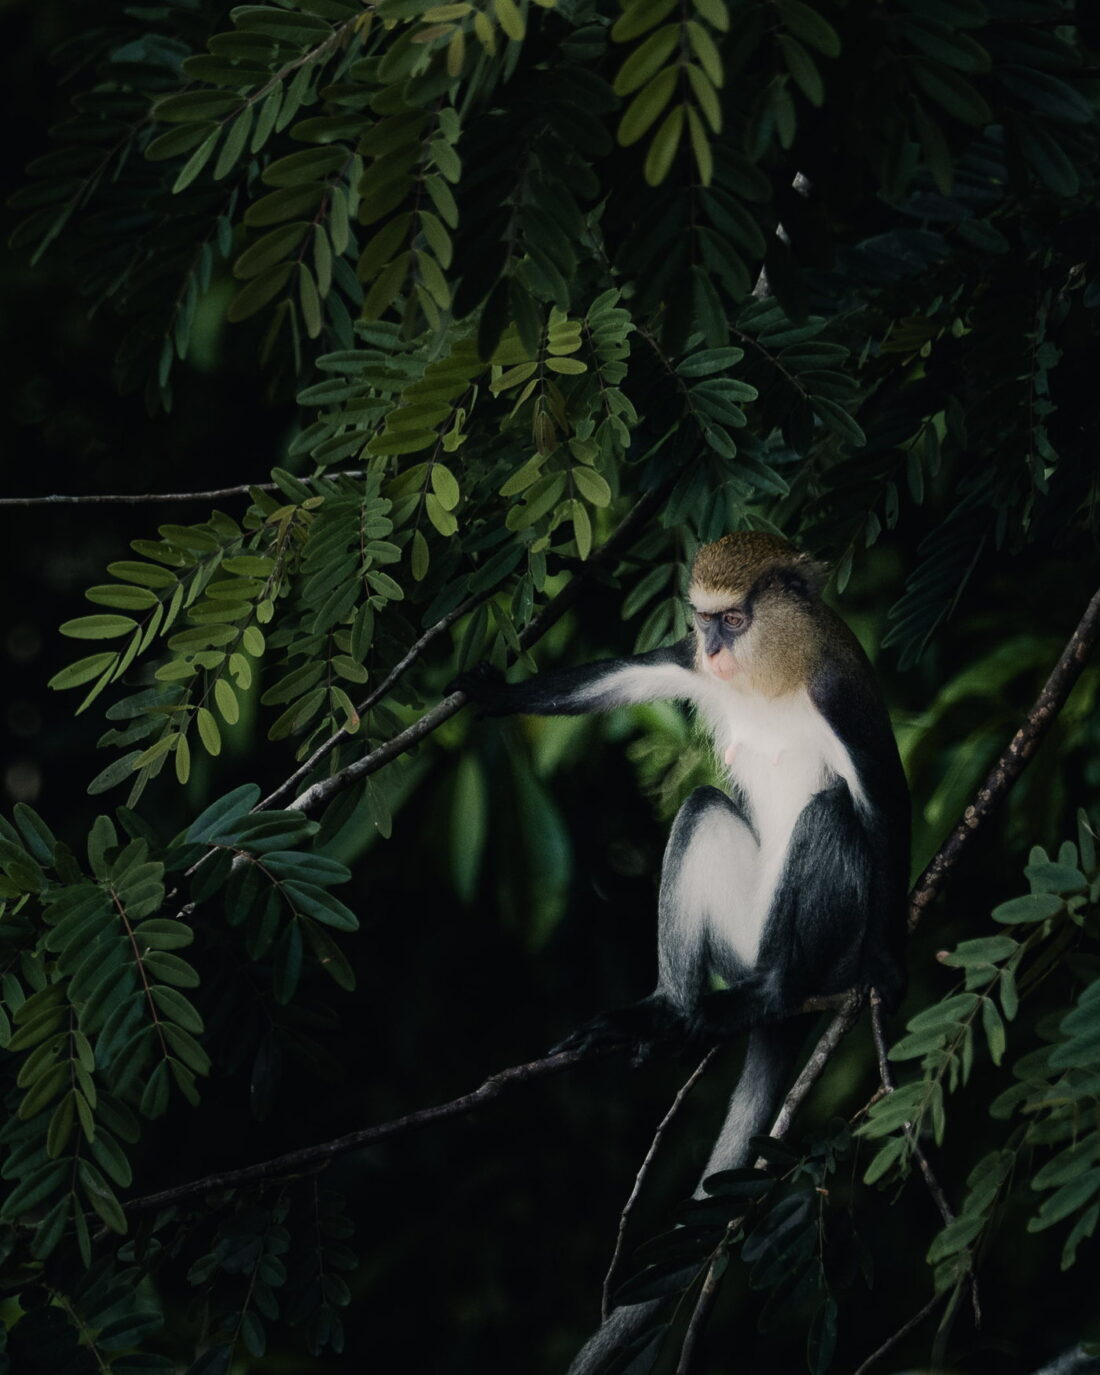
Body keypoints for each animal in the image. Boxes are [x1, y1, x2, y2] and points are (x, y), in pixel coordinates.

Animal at [455, 531, 909, 1373]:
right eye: (703, 622)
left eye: (734, 617)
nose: (714, 645)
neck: (769, 675)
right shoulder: (692, 668)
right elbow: (628, 674)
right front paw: (493, 693)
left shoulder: (840, 694)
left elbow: (886, 805)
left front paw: (891, 968)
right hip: (739, 929)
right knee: (701, 808)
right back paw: (667, 1011)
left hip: (824, 943)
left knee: (831, 813)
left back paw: (766, 995)